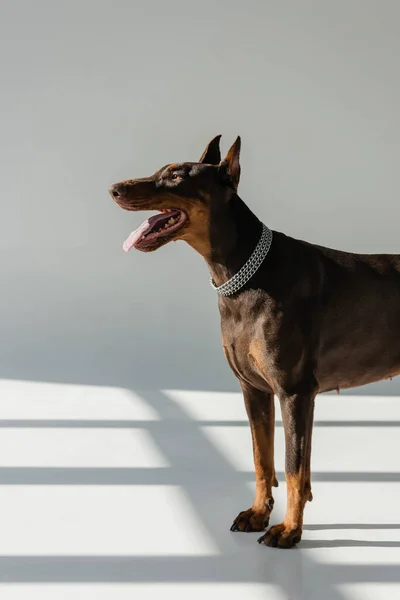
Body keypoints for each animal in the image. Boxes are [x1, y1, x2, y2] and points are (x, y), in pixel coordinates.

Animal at [108, 136, 400, 548]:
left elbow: (295, 468)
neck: (242, 275)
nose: (114, 189)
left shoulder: (295, 392)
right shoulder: (253, 389)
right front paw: (259, 513)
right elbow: (262, 458)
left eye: (177, 175)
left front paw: (289, 530)